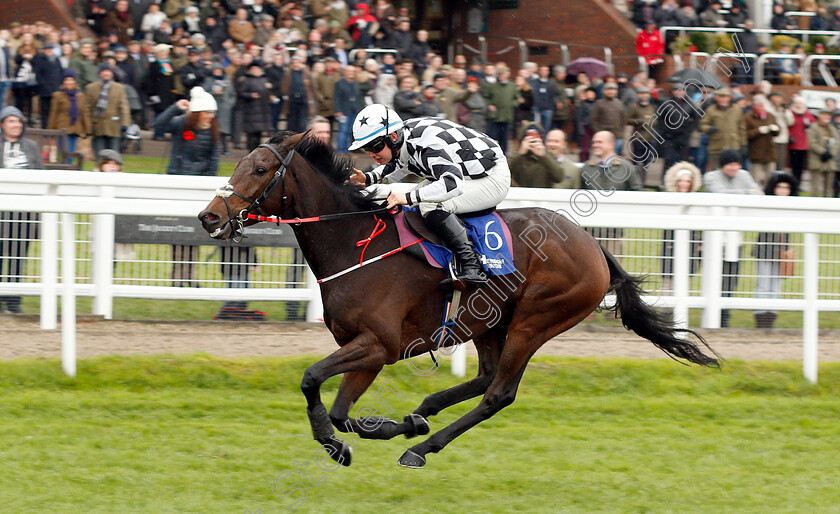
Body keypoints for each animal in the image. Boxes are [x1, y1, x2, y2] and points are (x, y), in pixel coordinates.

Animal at [197, 132, 716, 468]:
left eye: (260, 169)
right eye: (237, 165)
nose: (209, 217)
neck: (353, 242)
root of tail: (593, 245)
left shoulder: (378, 344)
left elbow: (311, 380)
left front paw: (338, 441)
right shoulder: (367, 350)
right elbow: (342, 411)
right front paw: (380, 430)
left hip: (536, 320)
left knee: (498, 393)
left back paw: (420, 447)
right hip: (490, 322)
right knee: (485, 377)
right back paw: (423, 413)